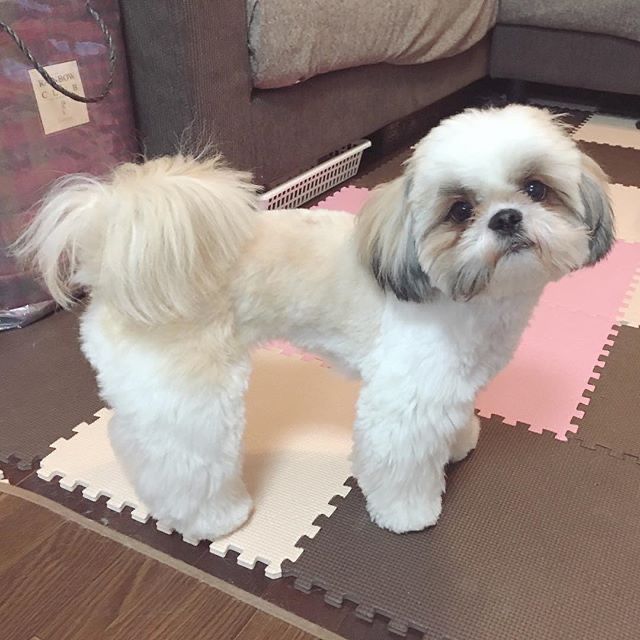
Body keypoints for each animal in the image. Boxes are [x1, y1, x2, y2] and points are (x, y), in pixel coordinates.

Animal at [16, 106, 616, 540]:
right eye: (460, 211)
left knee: (132, 436)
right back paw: (211, 519)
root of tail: (109, 254)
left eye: (536, 188)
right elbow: (398, 464)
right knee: (182, 458)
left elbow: (451, 421)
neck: (473, 301)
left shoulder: (450, 383)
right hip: (190, 393)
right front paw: (408, 514)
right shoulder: (403, 399)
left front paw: (457, 442)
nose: (507, 218)